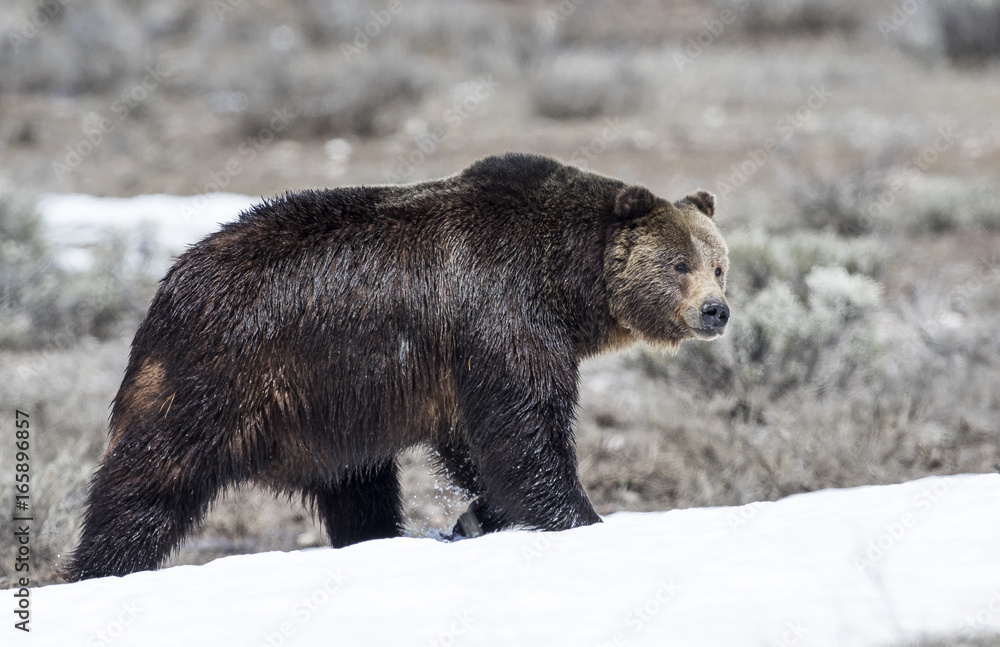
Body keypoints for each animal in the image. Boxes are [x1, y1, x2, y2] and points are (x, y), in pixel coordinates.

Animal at [63, 152, 730, 581]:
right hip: (219, 375)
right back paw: (99, 567)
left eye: (718, 263)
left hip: (326, 414)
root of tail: (169, 283)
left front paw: (476, 517)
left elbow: (475, 444)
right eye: (677, 264)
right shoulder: (501, 314)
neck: (566, 284)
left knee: (360, 487)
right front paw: (579, 518)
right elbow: (524, 433)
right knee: (149, 482)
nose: (716, 310)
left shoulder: (471, 356)